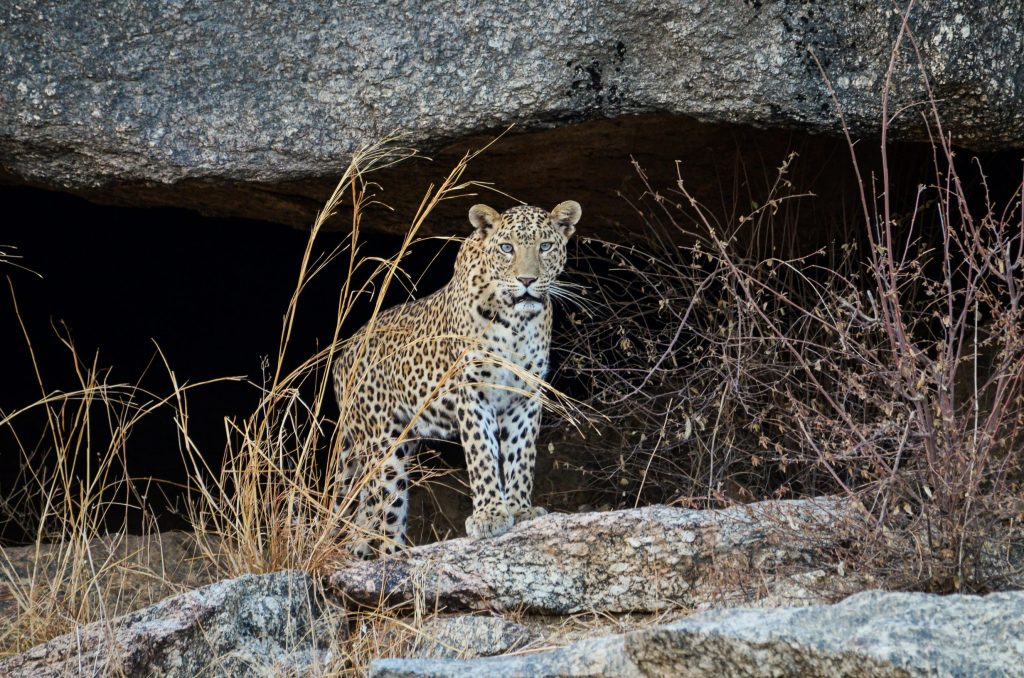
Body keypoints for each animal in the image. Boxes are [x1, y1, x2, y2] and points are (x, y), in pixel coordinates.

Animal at [331, 200, 581, 558]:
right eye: (507, 248)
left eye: (545, 246)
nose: (527, 280)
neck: (517, 325)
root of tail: (343, 357)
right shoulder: (473, 394)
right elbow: (482, 456)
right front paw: (490, 515)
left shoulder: (526, 397)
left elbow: (521, 455)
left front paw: (520, 509)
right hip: (381, 445)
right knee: (385, 509)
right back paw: (395, 556)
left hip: (401, 442)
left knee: (364, 518)